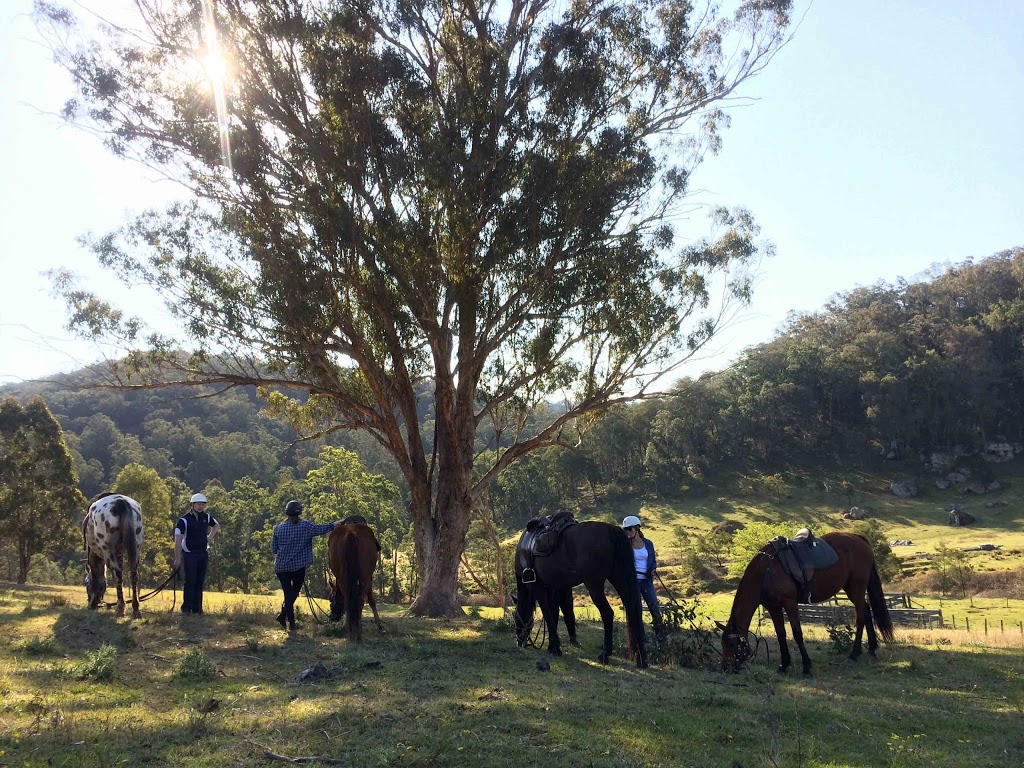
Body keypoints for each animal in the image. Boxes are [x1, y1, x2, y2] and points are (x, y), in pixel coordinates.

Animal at [512, 524, 647, 667]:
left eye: (515, 618)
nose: (519, 642)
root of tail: (610, 530)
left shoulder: (538, 587)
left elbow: (548, 615)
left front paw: (555, 648)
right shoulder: (554, 588)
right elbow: (553, 615)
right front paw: (552, 646)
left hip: (594, 584)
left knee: (607, 613)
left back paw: (605, 655)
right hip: (619, 579)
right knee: (634, 611)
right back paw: (642, 660)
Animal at [716, 532, 892, 675]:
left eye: (731, 644)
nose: (725, 668)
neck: (766, 572)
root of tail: (858, 538)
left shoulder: (790, 603)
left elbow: (797, 633)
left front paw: (806, 666)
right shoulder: (774, 608)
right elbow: (781, 634)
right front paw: (784, 664)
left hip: (857, 586)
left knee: (861, 616)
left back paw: (854, 653)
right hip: (850, 588)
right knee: (866, 611)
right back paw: (871, 650)